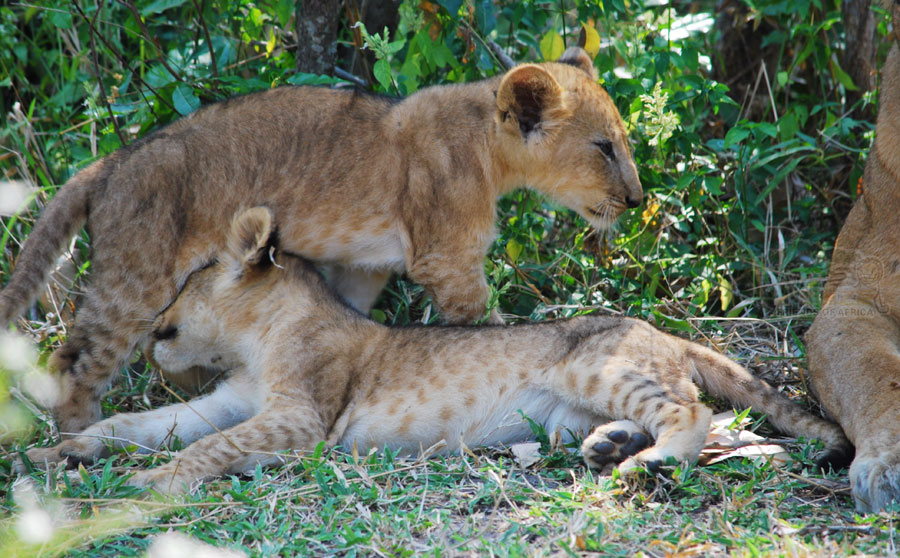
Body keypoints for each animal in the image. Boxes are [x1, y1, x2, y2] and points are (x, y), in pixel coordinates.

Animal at [0, 47, 642, 433]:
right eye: (604, 147)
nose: (637, 200)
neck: (487, 144)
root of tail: (110, 162)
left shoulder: (364, 264)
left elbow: (345, 312)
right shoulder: (448, 257)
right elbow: (481, 326)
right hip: (135, 277)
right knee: (75, 360)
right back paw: (79, 436)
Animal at [19, 207, 850, 494]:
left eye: (189, 277)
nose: (154, 316)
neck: (258, 340)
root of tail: (661, 330)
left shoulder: (301, 419)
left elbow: (207, 448)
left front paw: (152, 485)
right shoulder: (230, 401)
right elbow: (145, 426)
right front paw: (61, 451)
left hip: (599, 362)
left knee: (692, 411)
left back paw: (643, 464)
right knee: (733, 430)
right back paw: (617, 446)